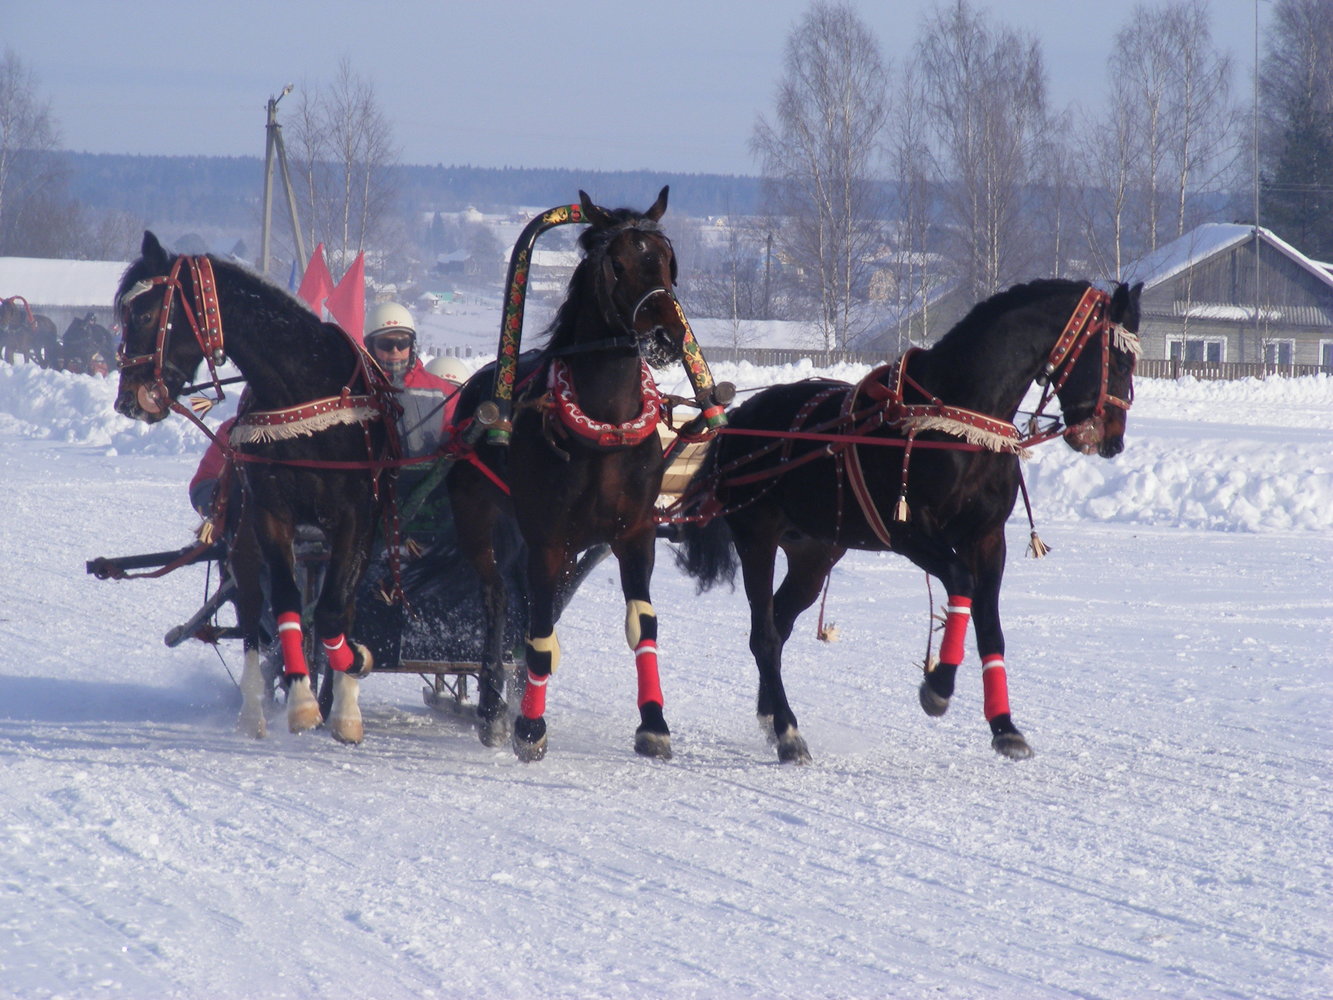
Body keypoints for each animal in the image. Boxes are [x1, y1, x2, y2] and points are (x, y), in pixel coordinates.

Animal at [118, 229, 394, 746]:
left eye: (143, 315)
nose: (129, 400)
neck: (306, 392)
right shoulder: (269, 514)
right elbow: (285, 604)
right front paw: (304, 700)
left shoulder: (358, 519)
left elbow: (336, 611)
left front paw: (350, 692)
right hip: (241, 538)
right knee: (251, 619)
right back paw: (254, 708)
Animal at [447, 186, 698, 757]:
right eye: (617, 264)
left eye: (667, 261)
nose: (664, 337)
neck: (605, 427)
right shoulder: (549, 537)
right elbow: (538, 634)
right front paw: (530, 728)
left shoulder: (635, 532)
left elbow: (643, 624)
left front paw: (654, 723)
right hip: (478, 518)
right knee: (497, 599)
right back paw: (492, 707)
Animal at [682, 282, 1141, 768]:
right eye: (1120, 360)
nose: (1114, 439)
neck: (957, 418)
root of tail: (739, 421)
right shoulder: (908, 531)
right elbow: (962, 582)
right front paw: (938, 686)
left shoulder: (987, 537)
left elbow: (990, 626)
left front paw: (1005, 727)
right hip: (758, 537)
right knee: (765, 635)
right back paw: (788, 731)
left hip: (815, 551)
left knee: (779, 622)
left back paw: (771, 717)